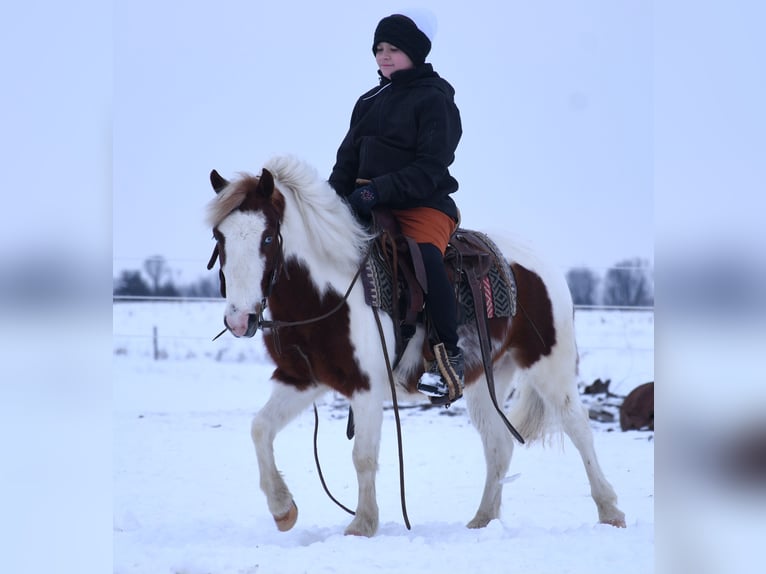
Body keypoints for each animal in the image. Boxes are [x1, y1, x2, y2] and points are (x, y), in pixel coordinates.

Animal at [207, 155, 628, 536]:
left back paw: (610, 511)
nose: (239, 320)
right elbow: (260, 428)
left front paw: (362, 525)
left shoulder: (367, 386)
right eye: (219, 237)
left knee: (577, 425)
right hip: (485, 378)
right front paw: (283, 509)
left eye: (267, 238)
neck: (327, 292)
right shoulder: (302, 379)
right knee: (499, 445)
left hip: (550, 365)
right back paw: (482, 520)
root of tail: (539, 261)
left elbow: (363, 456)